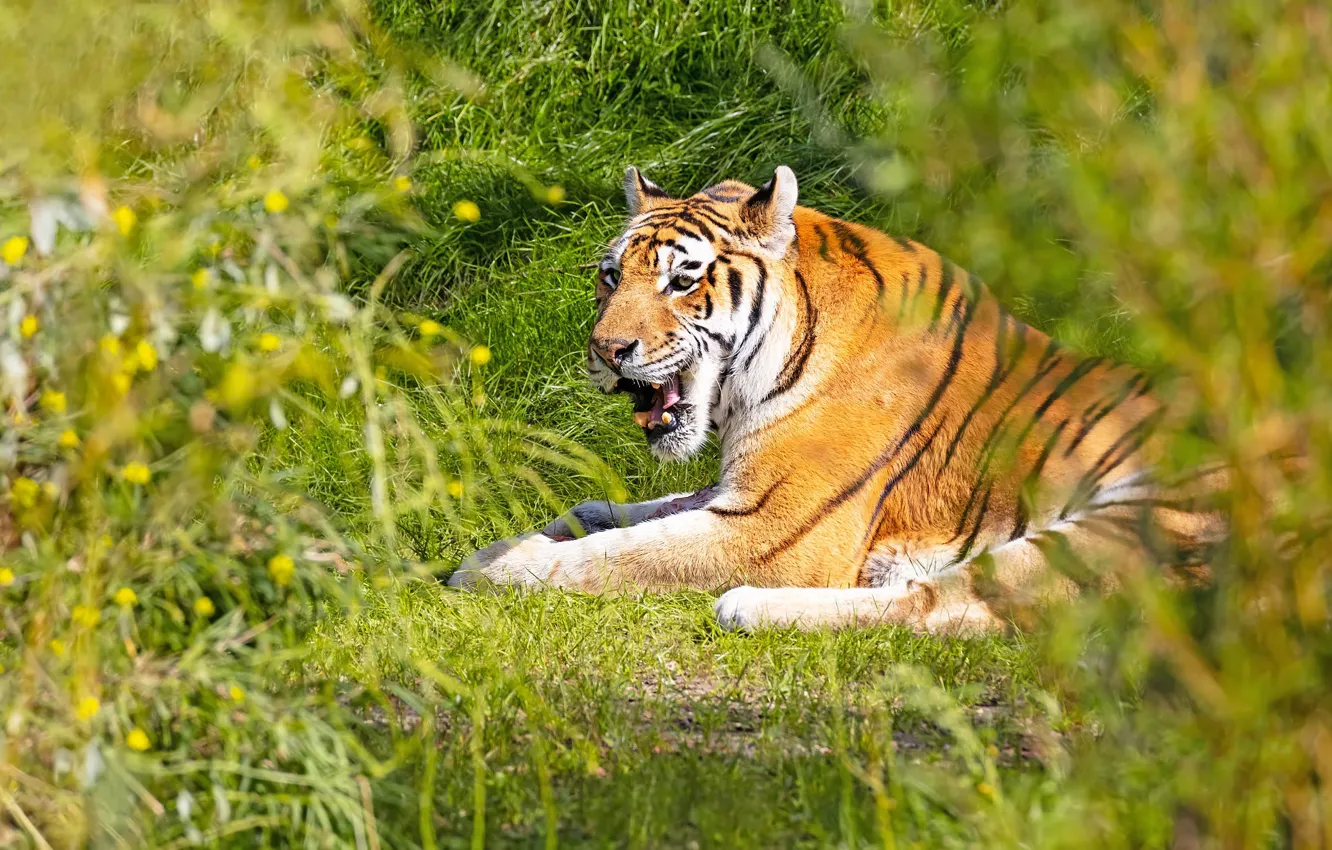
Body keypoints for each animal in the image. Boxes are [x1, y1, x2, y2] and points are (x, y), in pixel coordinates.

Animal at [448, 165, 1225, 633]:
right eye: (611, 277)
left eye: (682, 280)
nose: (606, 352)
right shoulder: (739, 491)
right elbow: (610, 512)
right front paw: (520, 536)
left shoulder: (775, 524)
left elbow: (622, 553)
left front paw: (491, 567)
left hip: (1128, 521)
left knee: (939, 607)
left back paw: (750, 607)